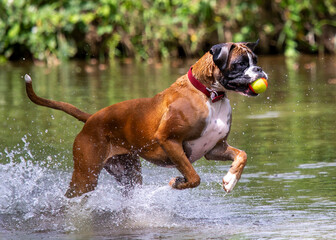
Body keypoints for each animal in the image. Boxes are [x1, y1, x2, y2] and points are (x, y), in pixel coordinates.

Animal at [25, 40, 268, 197]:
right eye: (240, 64)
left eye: (255, 60)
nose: (260, 69)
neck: (209, 94)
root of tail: (92, 118)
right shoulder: (169, 140)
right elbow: (193, 177)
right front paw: (177, 182)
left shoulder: (214, 148)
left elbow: (242, 155)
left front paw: (230, 180)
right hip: (85, 176)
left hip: (128, 175)